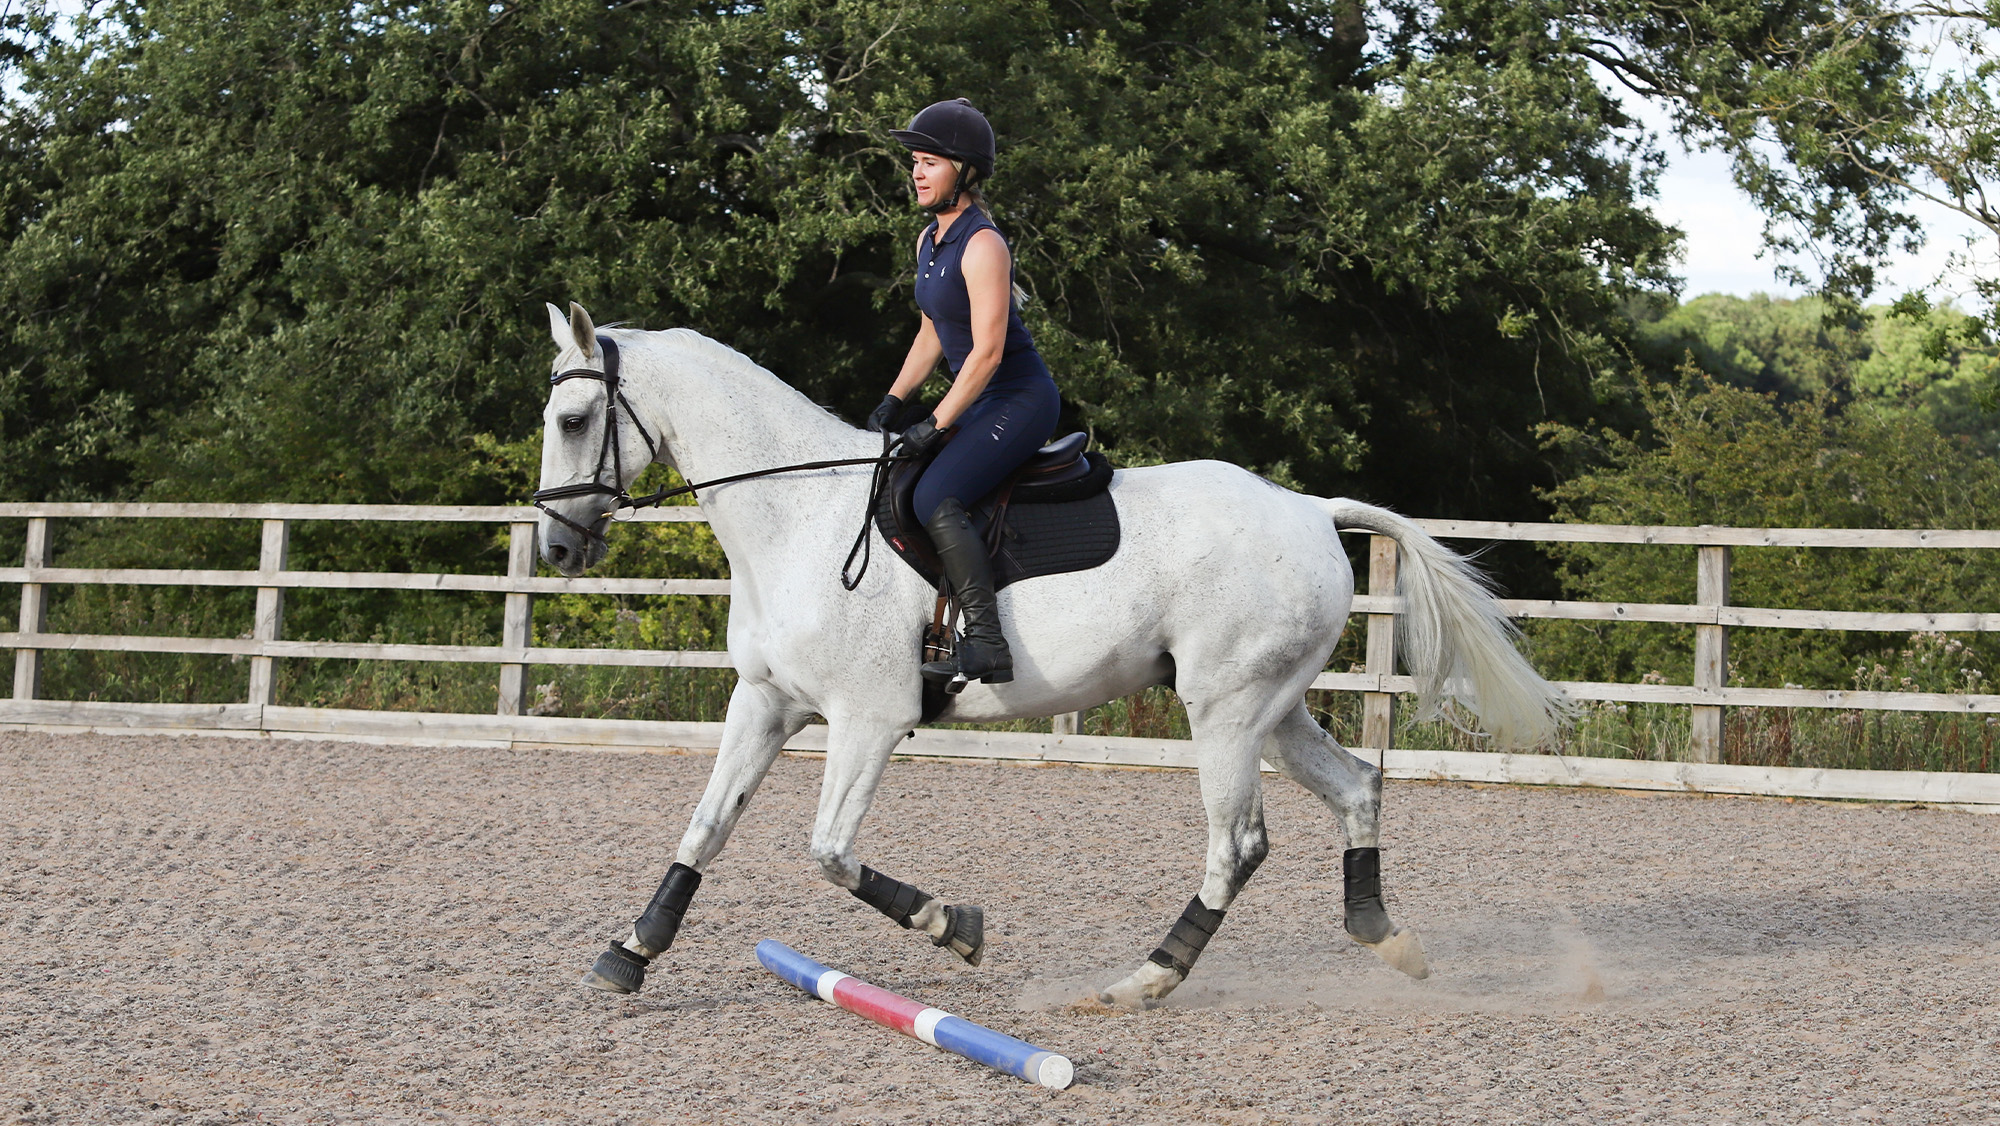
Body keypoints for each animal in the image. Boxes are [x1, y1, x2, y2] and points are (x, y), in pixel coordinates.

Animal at [532, 302, 1569, 1008]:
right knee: (1356, 787)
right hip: (1270, 711)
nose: (553, 549)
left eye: (574, 423)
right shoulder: (766, 700)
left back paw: (1147, 979)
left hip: (1226, 713)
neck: (801, 514)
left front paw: (955, 928)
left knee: (1235, 843)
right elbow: (705, 829)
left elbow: (829, 851)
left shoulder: (869, 719)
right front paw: (630, 952)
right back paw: (1383, 938)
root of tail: (1311, 509)